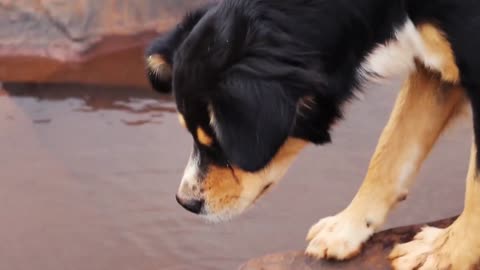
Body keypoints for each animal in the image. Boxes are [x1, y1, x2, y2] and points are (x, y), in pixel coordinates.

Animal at [144, 1, 480, 268]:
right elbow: (390, 153)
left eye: (220, 142)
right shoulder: (432, 65)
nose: (185, 202)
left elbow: (474, 187)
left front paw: (443, 254)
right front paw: (347, 228)